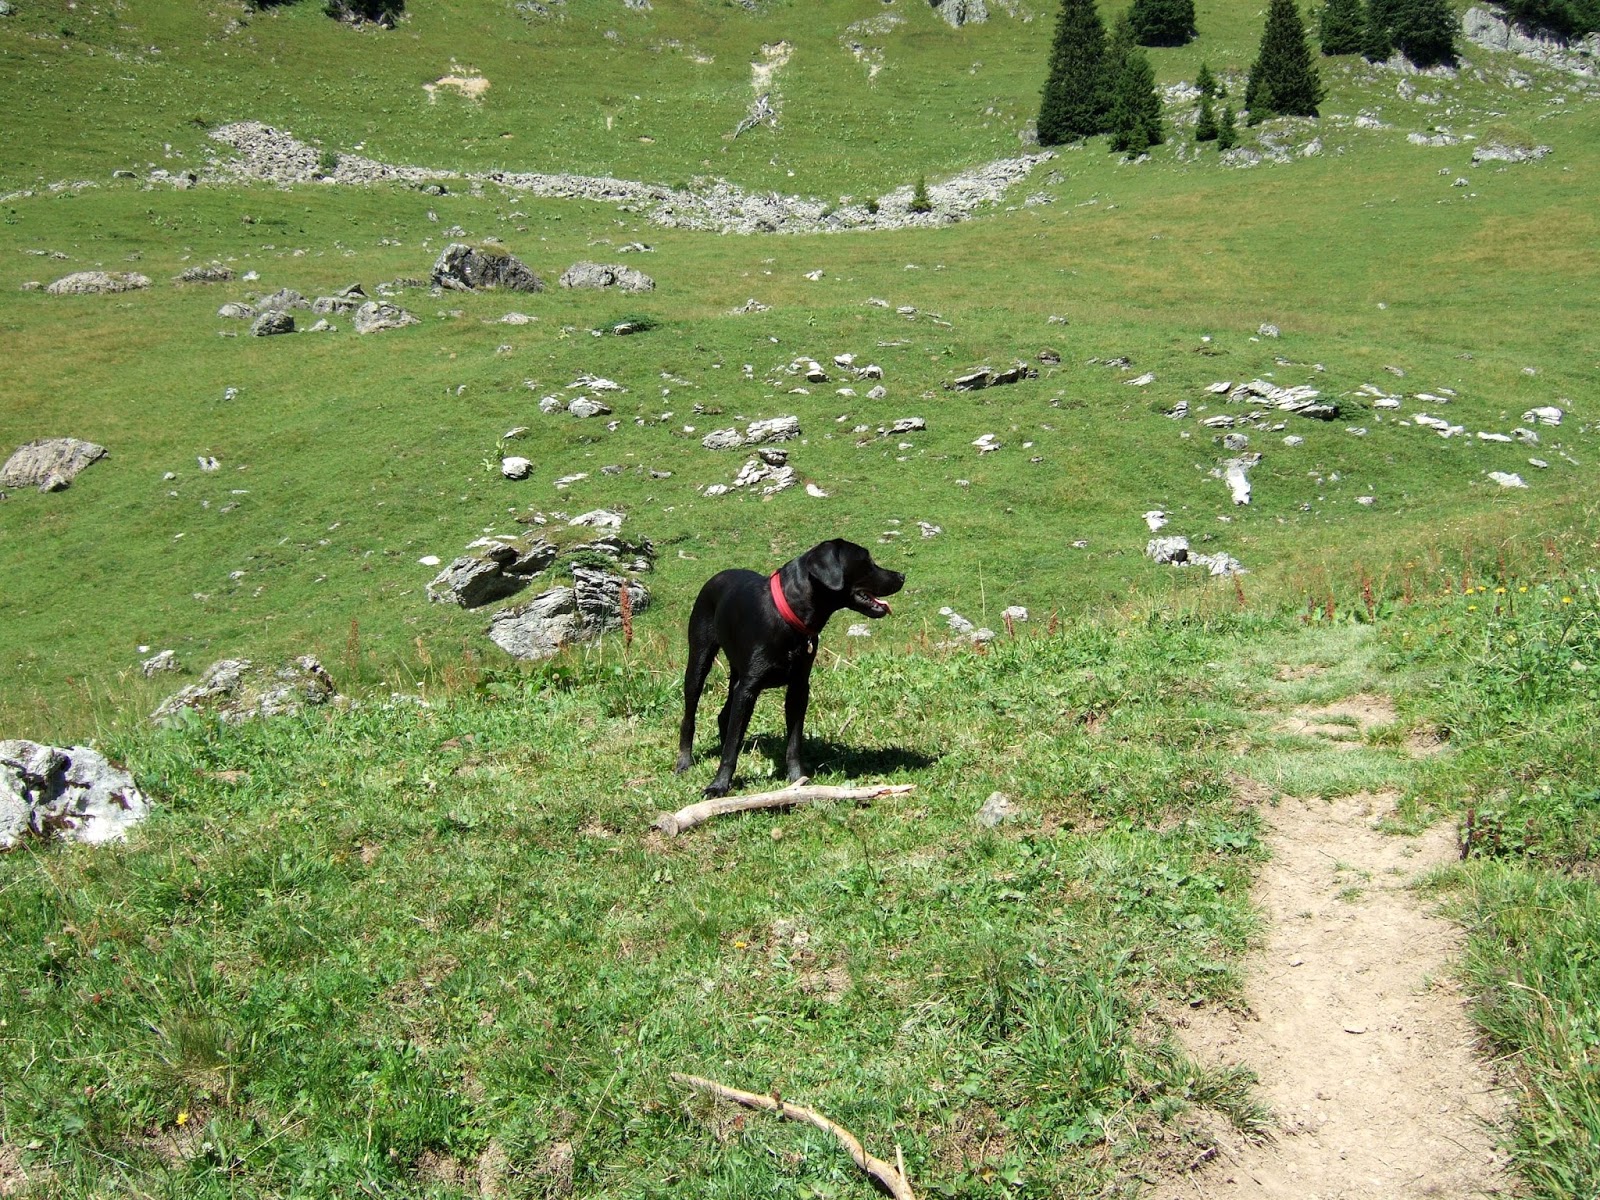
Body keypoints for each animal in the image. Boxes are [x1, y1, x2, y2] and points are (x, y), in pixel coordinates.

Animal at [675, 539, 905, 797]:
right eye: (866, 561)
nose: (902, 576)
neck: (789, 616)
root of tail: (715, 577)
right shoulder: (748, 688)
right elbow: (730, 749)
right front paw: (718, 785)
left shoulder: (798, 687)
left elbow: (794, 743)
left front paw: (798, 780)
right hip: (699, 659)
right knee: (690, 714)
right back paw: (684, 761)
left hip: (736, 671)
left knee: (725, 716)